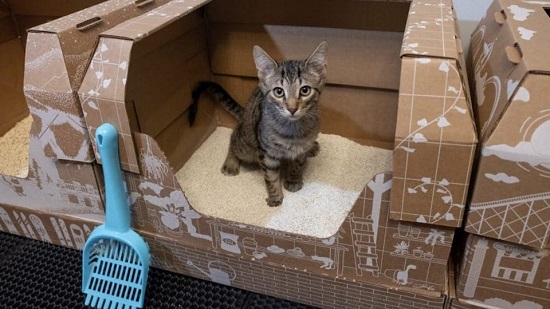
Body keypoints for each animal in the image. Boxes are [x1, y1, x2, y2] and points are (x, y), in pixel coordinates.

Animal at [191, 41, 328, 205]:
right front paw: (275, 196)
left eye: (305, 90)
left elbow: (296, 165)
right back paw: (231, 162)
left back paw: (313, 147)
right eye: (279, 91)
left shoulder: (300, 149)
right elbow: (270, 176)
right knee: (234, 138)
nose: (292, 108)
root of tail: (245, 114)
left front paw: (293, 180)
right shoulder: (266, 152)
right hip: (247, 144)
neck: (292, 130)